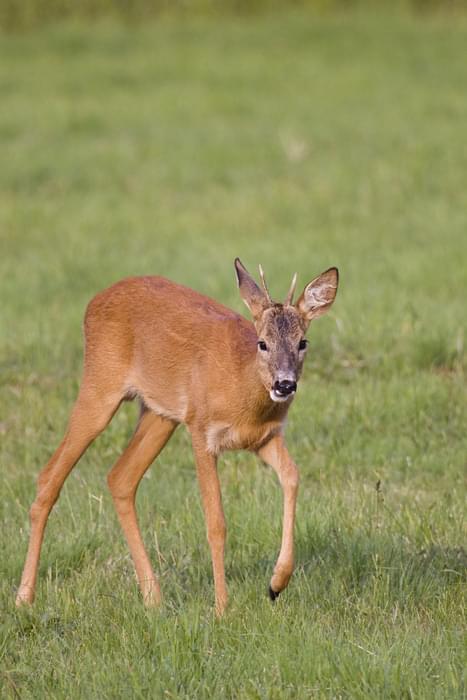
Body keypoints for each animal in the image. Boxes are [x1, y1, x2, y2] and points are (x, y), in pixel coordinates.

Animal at [16, 260, 338, 616]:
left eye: (303, 342)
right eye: (263, 342)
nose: (284, 384)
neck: (242, 387)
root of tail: (95, 301)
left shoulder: (264, 437)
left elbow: (292, 476)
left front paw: (276, 584)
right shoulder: (201, 430)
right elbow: (216, 522)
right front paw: (221, 609)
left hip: (160, 414)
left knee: (120, 477)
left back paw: (152, 597)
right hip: (100, 386)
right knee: (50, 476)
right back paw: (24, 597)